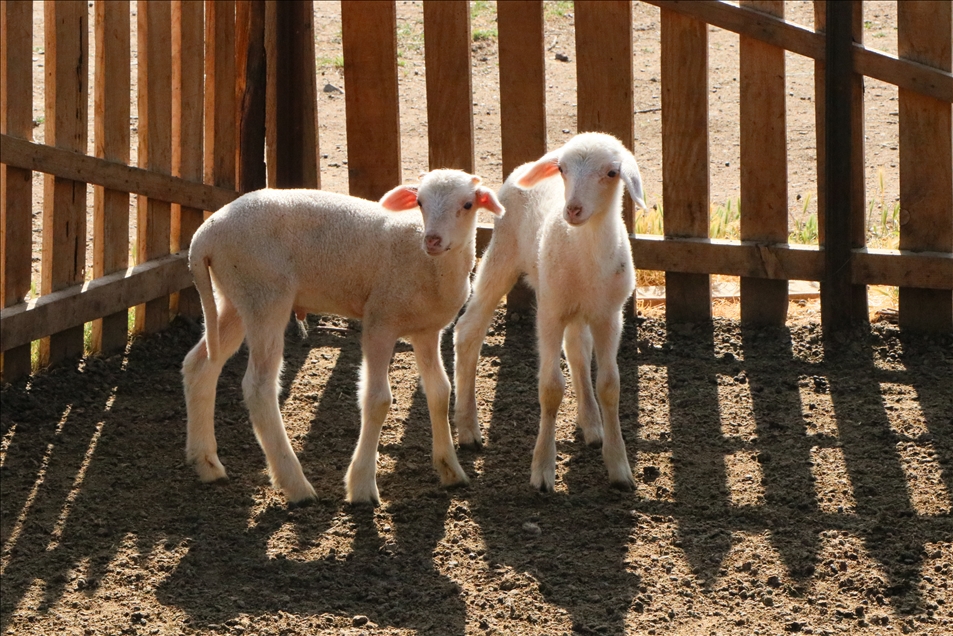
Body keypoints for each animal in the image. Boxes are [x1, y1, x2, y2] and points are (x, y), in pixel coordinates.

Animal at [181, 170, 502, 506]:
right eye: (420, 202)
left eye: (467, 204)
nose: (433, 240)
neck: (430, 265)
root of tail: (203, 237)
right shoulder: (380, 322)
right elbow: (377, 399)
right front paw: (362, 486)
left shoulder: (427, 331)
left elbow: (440, 392)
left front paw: (451, 470)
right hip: (264, 294)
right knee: (258, 387)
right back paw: (296, 485)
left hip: (235, 298)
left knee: (200, 365)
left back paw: (207, 463)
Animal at [454, 133, 648, 492]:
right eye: (562, 169)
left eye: (612, 173)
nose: (572, 210)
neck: (585, 249)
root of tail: (528, 163)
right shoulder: (549, 313)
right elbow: (551, 388)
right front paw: (543, 469)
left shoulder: (609, 316)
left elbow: (610, 385)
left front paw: (619, 467)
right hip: (502, 254)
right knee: (468, 330)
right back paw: (468, 429)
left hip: (575, 304)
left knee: (576, 349)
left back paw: (592, 425)